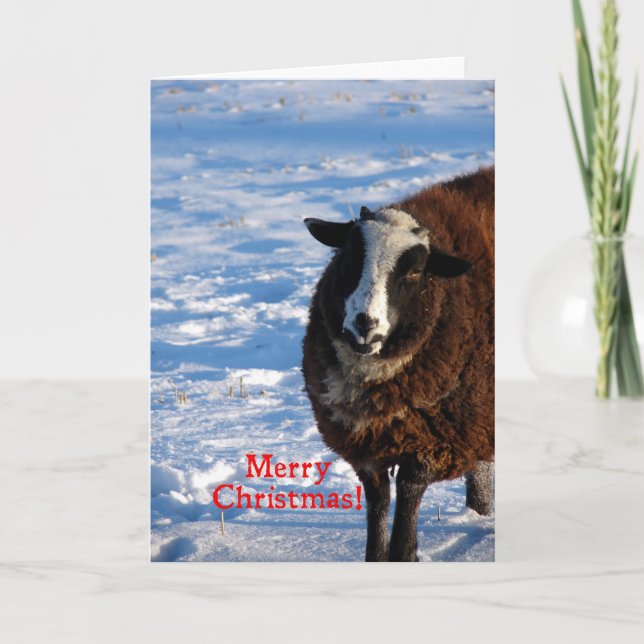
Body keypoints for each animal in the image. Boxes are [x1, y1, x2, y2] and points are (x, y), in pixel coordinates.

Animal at [302, 166, 494, 562]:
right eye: (347, 256)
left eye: (415, 270)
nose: (365, 323)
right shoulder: (367, 449)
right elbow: (378, 507)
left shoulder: (434, 446)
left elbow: (407, 500)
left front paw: (404, 552)